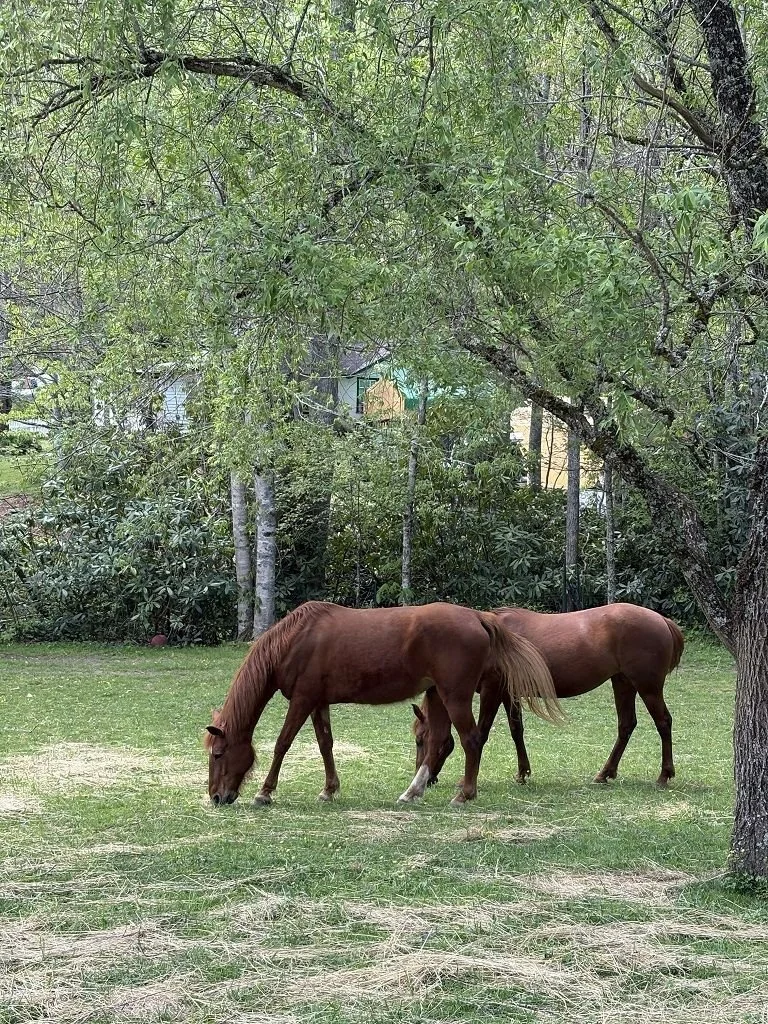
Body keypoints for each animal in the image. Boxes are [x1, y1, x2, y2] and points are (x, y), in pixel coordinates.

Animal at [205, 601, 560, 808]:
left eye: (218, 754)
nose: (217, 797)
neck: (295, 640)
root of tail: (479, 617)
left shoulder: (303, 700)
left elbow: (282, 743)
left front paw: (264, 792)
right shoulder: (318, 702)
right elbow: (325, 744)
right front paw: (329, 789)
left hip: (454, 696)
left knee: (470, 740)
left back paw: (464, 794)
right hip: (437, 695)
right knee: (438, 743)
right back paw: (412, 792)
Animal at [411, 603, 684, 788]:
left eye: (420, 740)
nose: (424, 778)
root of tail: (661, 619)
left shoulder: (493, 690)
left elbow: (483, 731)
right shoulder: (510, 694)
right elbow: (516, 730)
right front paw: (523, 772)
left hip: (647, 687)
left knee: (663, 722)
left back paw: (664, 775)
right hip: (623, 682)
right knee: (626, 725)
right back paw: (605, 773)